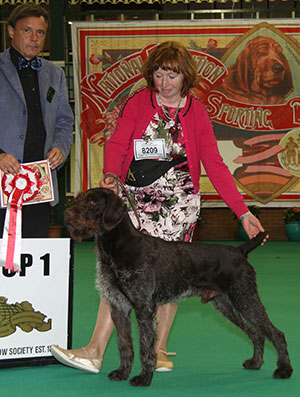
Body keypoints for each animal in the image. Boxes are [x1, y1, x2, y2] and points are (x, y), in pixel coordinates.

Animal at [63, 187, 292, 386]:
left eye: (92, 201)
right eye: (80, 198)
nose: (66, 213)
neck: (116, 248)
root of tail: (239, 250)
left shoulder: (144, 307)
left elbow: (145, 347)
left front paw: (144, 378)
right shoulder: (118, 307)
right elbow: (124, 345)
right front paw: (122, 372)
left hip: (245, 298)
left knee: (275, 333)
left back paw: (284, 369)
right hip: (226, 304)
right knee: (256, 333)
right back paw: (255, 363)